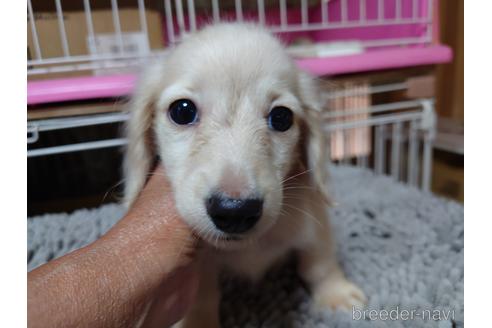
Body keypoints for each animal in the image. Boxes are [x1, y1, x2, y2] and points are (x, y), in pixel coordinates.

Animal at [125, 23, 368, 328]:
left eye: (282, 117)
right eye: (182, 111)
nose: (235, 212)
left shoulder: (314, 221)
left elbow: (320, 262)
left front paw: (336, 295)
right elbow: (202, 295)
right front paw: (198, 322)